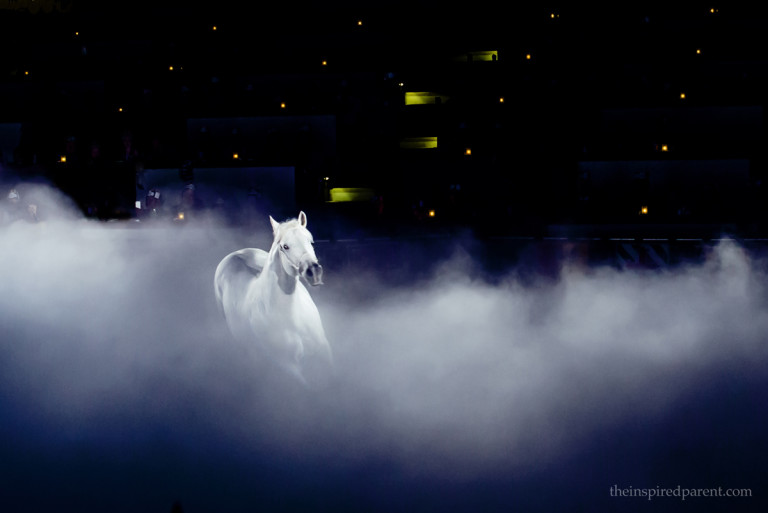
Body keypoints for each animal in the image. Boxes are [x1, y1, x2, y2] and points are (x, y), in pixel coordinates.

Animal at [216, 210, 332, 382]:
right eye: (285, 246)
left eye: (310, 241)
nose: (314, 272)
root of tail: (236, 254)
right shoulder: (288, 367)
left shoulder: (323, 349)